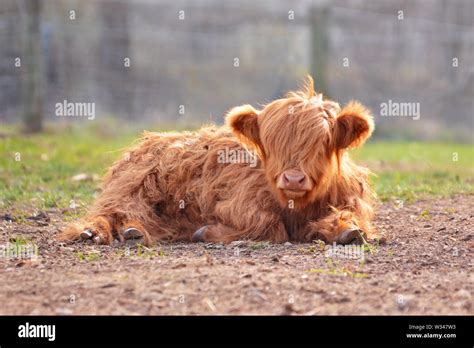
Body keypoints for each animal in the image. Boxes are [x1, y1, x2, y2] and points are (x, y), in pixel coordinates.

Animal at [59, 77, 376, 245]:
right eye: (271, 142)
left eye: (323, 141)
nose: (294, 178)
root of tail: (150, 139)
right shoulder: (238, 202)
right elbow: (269, 225)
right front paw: (207, 232)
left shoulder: (350, 199)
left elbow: (349, 219)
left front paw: (348, 230)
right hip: (131, 188)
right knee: (110, 211)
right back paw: (97, 232)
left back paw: (133, 231)